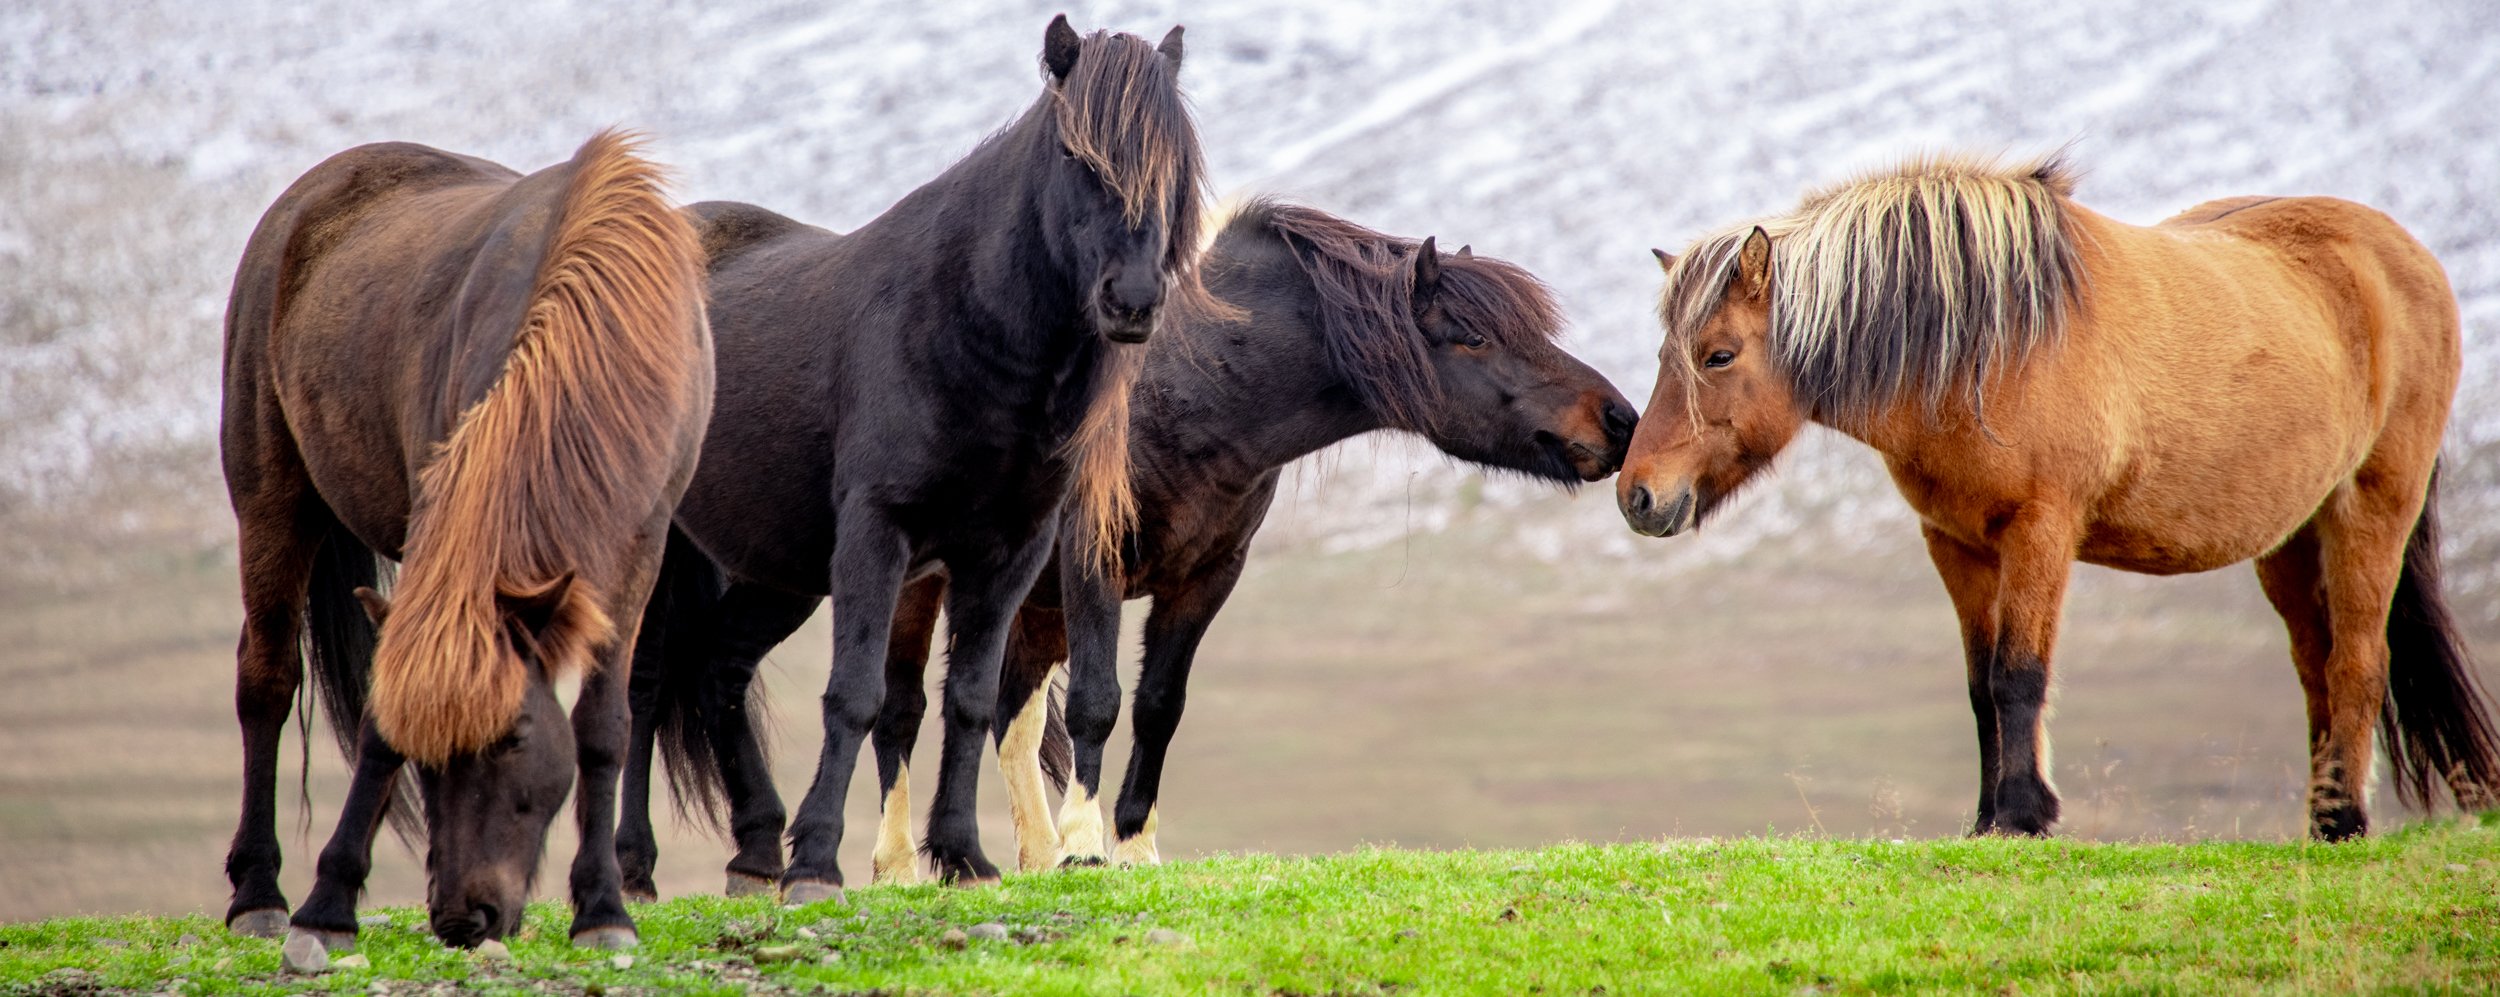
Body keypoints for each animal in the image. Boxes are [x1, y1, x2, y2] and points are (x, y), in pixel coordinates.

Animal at [218, 130, 711, 951]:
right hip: (270, 502)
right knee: (267, 681)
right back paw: (258, 893)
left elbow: (603, 728)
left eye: (513, 736)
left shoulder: (638, 548)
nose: (462, 917)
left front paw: (603, 908)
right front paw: (328, 903)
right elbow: (381, 722)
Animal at [606, 16, 1208, 904]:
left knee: (717, 669)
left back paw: (755, 853)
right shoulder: (876, 534)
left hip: (776, 569)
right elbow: (856, 694)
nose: (1131, 301)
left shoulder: (1008, 554)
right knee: (644, 683)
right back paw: (637, 868)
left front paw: (961, 854)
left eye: (1176, 162)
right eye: (1075, 154)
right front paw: (818, 863)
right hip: (667, 544)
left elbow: (969, 700)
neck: (960, 327)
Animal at [626, 199, 1636, 885]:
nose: (1620, 420)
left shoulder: (1204, 576)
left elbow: (1156, 705)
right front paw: (1083, 845)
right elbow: (1098, 704)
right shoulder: (1091, 563)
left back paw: (780, 852)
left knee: (734, 674)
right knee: (770, 696)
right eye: (1470, 336)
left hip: (799, 574)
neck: (1187, 383)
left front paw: (1132, 843)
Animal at [1616, 152, 2500, 840]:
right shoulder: (1957, 541)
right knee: (2318, 666)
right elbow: (1981, 687)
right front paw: (1988, 818)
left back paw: (2344, 821)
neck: (1983, 350)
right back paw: (2320, 817)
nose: (1638, 496)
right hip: (2289, 537)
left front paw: (2022, 814)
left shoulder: (2040, 529)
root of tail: (2407, 256)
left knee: (2359, 660)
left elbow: (2020, 674)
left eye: (1719, 354)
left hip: (2371, 505)